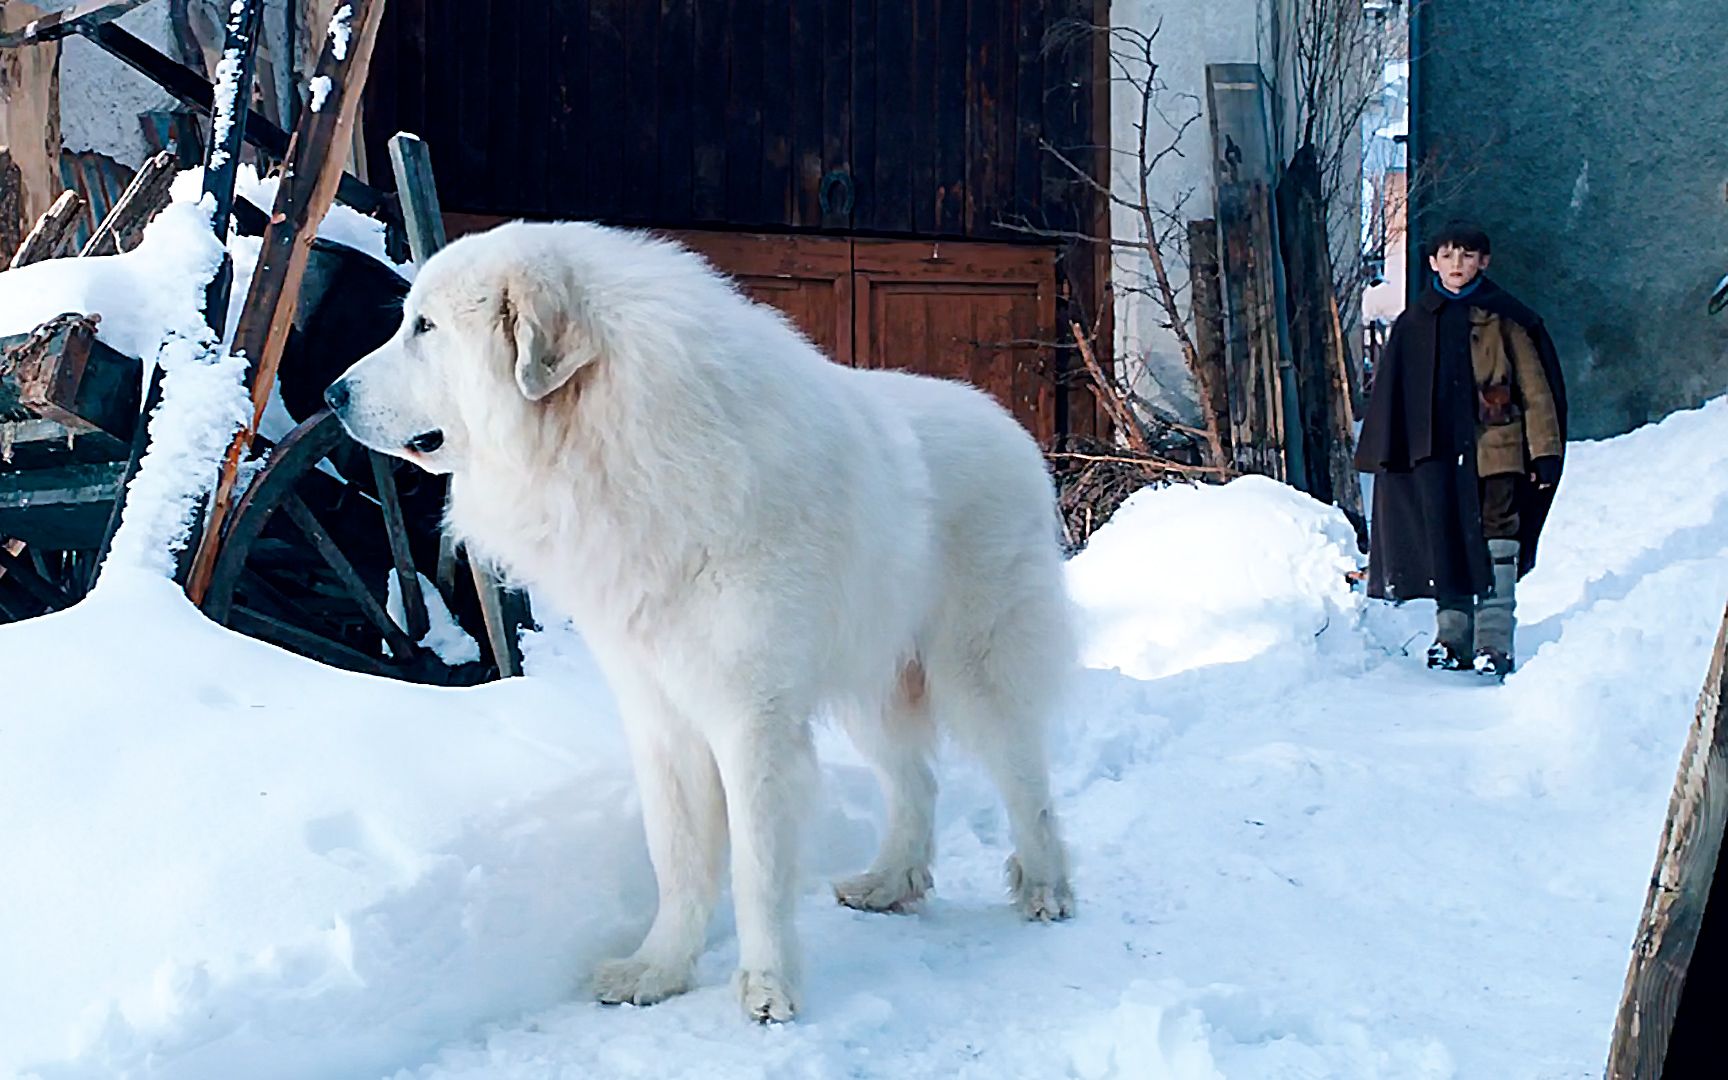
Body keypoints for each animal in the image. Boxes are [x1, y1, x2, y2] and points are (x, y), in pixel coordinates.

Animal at [324, 221, 1071, 1016]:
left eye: (424, 327)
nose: (331, 393)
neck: (614, 449)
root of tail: (1009, 426)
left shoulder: (753, 721)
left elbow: (756, 867)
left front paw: (767, 988)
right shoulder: (661, 715)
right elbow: (677, 857)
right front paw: (657, 970)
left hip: (977, 672)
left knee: (1027, 781)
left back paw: (1047, 888)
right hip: (875, 683)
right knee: (916, 782)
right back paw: (890, 884)